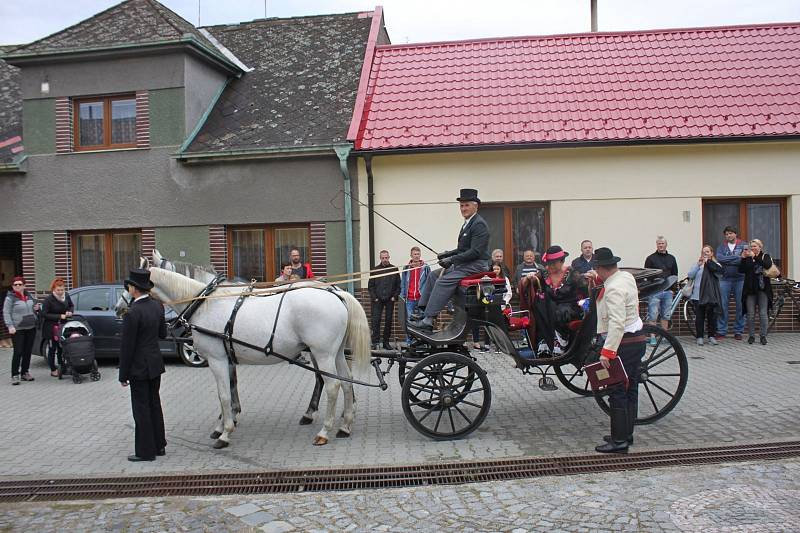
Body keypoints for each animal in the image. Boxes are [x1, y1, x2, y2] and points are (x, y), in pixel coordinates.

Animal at [147, 266, 372, 444]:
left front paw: (225, 432)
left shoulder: (216, 359)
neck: (206, 302)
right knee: (346, 382)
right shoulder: (228, 358)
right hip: (336, 353)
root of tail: (338, 295)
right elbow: (231, 389)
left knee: (332, 385)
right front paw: (225, 423)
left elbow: (224, 395)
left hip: (322, 353)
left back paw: (324, 431)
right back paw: (344, 425)